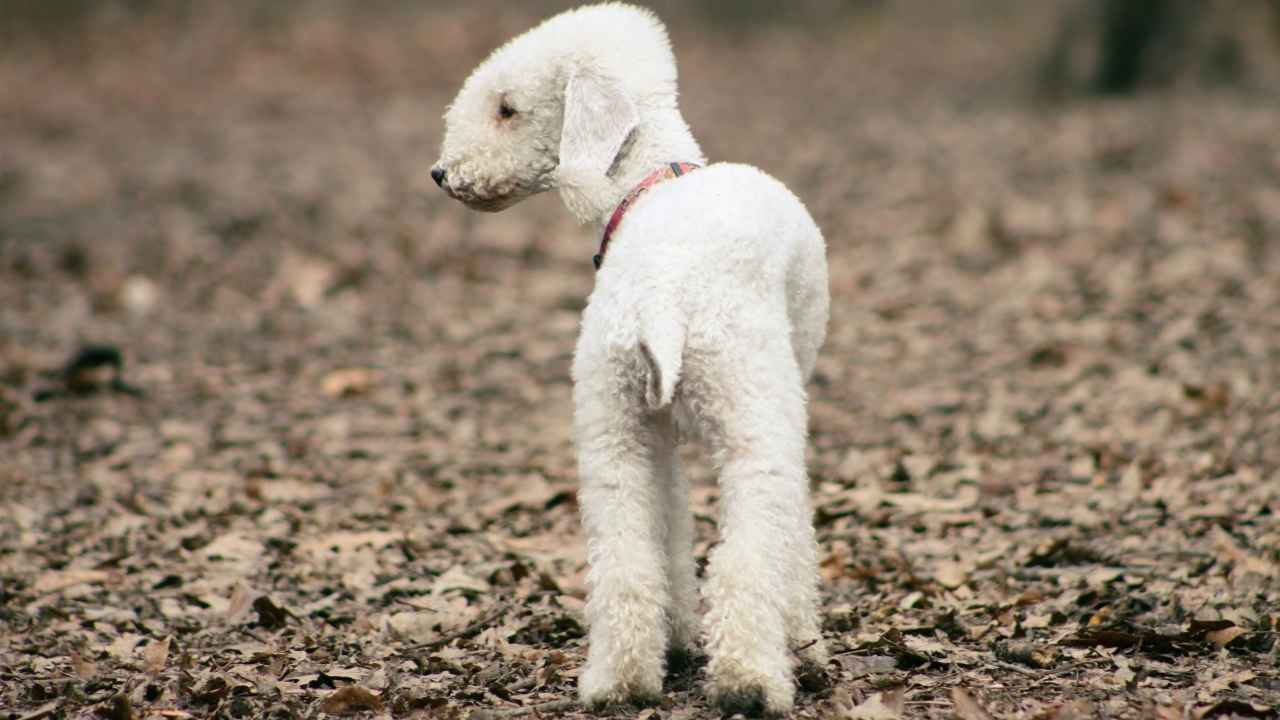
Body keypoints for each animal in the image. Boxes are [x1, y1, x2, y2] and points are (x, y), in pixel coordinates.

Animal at [430, 4, 829, 712]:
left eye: (506, 108)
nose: (443, 174)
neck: (651, 181)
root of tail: (663, 301)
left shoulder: (649, 429)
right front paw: (804, 644)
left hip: (612, 422)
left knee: (624, 555)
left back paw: (620, 680)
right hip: (750, 412)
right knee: (748, 551)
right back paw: (750, 681)